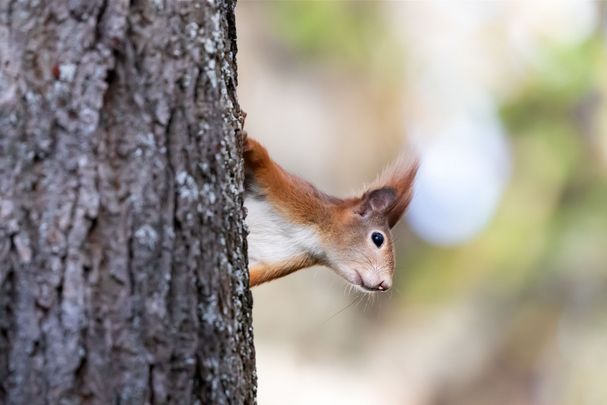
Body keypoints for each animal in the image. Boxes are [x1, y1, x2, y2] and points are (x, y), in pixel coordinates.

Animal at [242, 135, 418, 290]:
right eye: (377, 238)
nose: (385, 285)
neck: (315, 235)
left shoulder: (279, 260)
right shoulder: (293, 192)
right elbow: (263, 163)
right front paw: (247, 142)